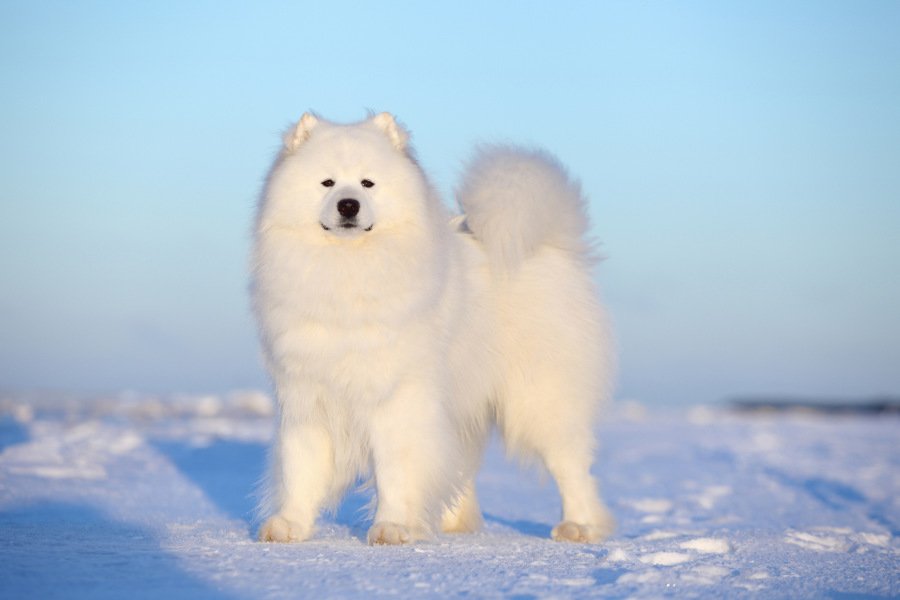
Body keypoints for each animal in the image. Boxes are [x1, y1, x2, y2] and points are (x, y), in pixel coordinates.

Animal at [253, 111, 620, 544]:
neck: (349, 272)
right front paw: (289, 525)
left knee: (571, 465)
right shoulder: (306, 396)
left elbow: (394, 470)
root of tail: (548, 246)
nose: (348, 204)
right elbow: (299, 467)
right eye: (327, 182)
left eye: (367, 183)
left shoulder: (396, 396)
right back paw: (453, 524)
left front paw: (392, 527)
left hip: (539, 399)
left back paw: (579, 526)